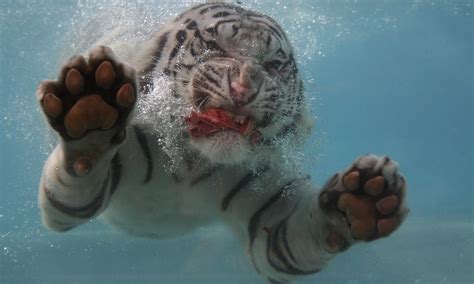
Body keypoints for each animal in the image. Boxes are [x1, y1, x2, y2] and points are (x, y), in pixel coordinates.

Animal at [36, 1, 408, 282]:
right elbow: (83, 166)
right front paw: (91, 113)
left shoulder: (273, 210)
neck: (191, 166)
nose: (244, 87)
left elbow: (306, 231)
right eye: (213, 46)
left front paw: (362, 201)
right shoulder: (79, 193)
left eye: (274, 65)